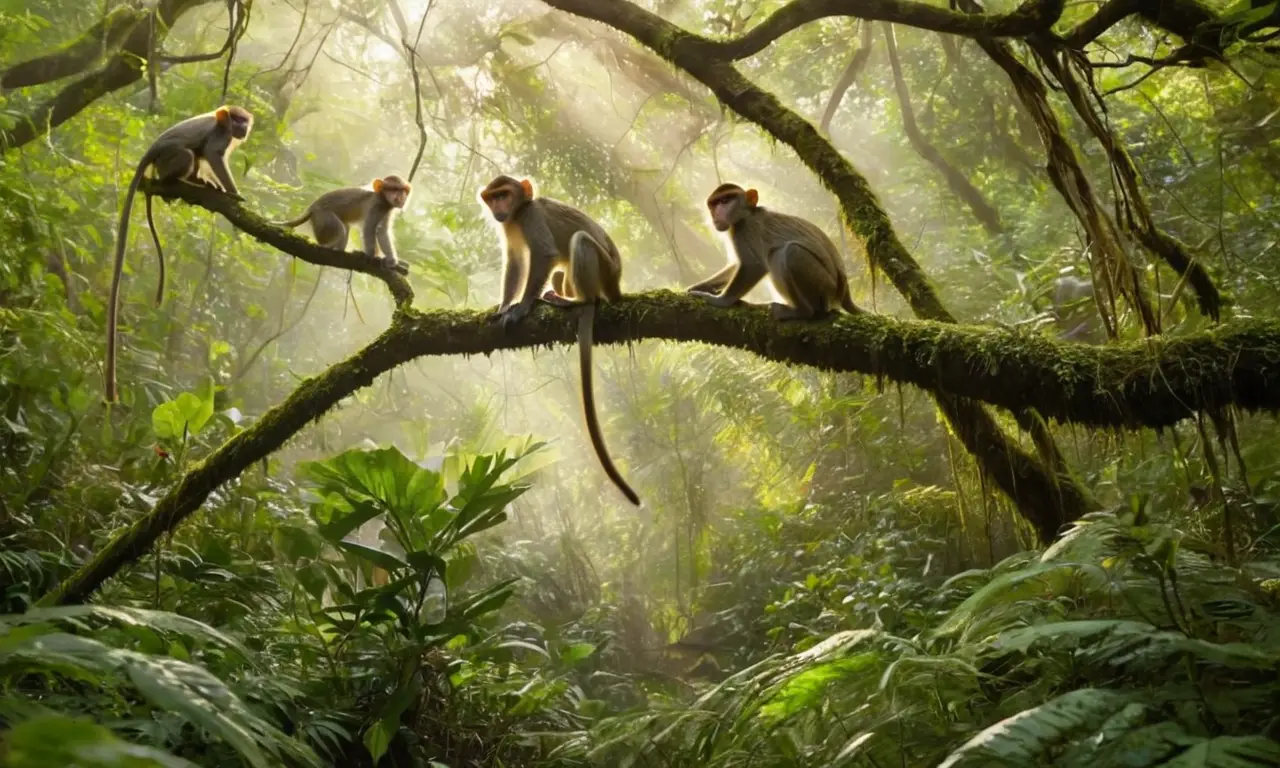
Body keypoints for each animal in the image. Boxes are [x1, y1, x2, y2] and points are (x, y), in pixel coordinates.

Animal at [106, 105, 253, 402]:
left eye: (245, 121)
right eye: (237, 120)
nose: (243, 128)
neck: (226, 127)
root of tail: (151, 150)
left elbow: (207, 156)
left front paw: (214, 185)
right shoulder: (221, 134)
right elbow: (213, 155)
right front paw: (234, 193)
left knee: (194, 156)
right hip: (168, 158)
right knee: (188, 154)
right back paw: (174, 180)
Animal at [276, 175, 411, 268]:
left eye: (403, 191)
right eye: (394, 189)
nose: (401, 197)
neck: (383, 199)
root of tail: (312, 207)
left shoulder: (387, 209)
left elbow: (382, 231)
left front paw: (392, 260)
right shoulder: (376, 205)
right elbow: (369, 229)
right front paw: (372, 256)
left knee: (345, 227)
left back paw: (339, 250)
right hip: (323, 216)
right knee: (339, 228)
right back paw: (326, 246)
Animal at [478, 175, 641, 507]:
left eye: (505, 195)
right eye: (493, 197)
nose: (499, 208)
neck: (517, 214)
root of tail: (616, 286)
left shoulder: (530, 218)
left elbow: (544, 255)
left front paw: (523, 307)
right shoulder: (509, 226)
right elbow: (515, 263)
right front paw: (503, 306)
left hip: (604, 271)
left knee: (579, 243)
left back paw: (579, 301)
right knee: (560, 271)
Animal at [688, 183, 860, 320]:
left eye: (725, 201)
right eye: (713, 204)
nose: (716, 213)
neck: (746, 215)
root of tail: (843, 291)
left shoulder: (747, 229)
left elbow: (753, 265)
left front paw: (721, 300)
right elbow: (736, 264)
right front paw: (702, 287)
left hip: (825, 287)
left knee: (787, 252)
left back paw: (802, 311)